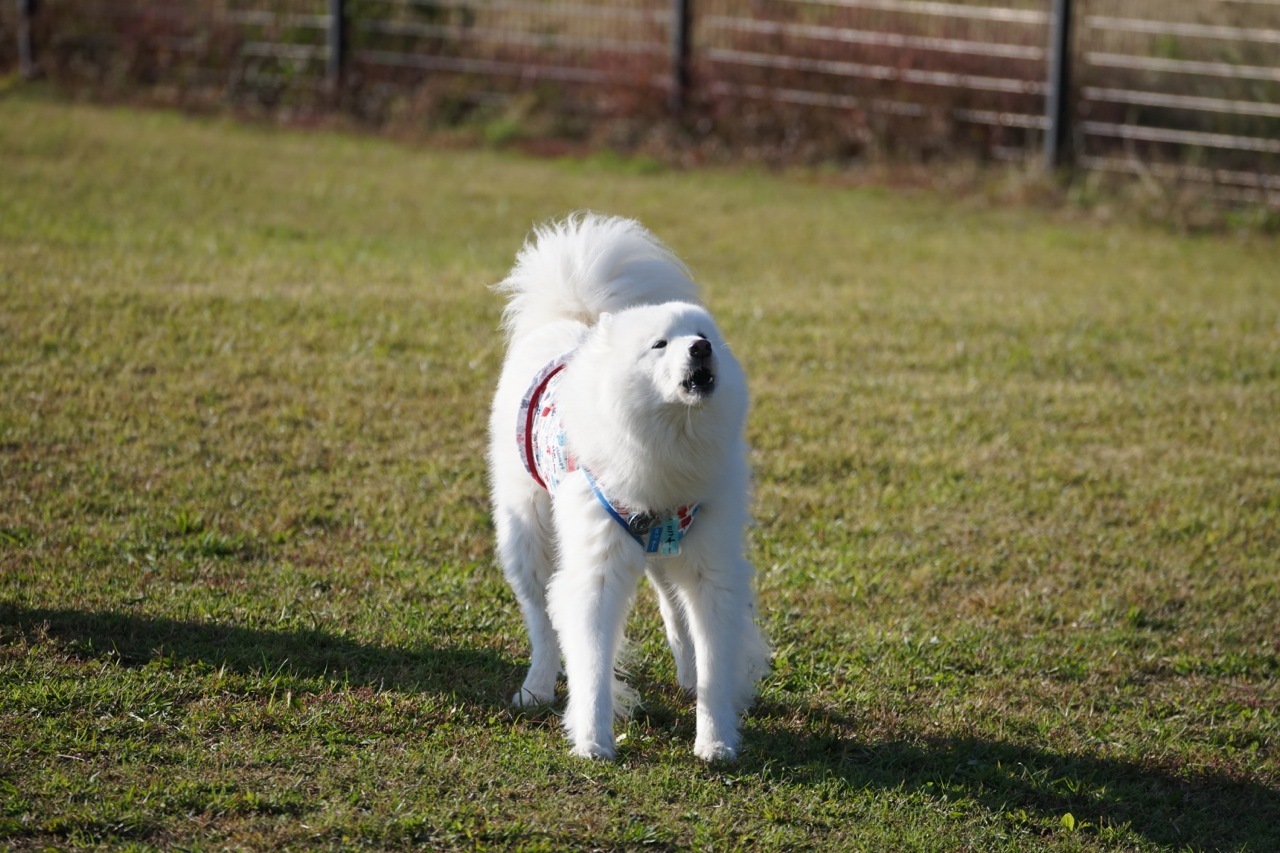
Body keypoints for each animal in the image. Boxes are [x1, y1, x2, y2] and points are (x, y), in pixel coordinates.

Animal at [486, 211, 768, 758]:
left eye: (702, 334)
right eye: (660, 345)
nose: (701, 348)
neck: (670, 442)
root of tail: (575, 317)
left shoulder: (711, 567)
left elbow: (715, 663)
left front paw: (715, 741)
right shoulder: (597, 570)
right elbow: (592, 663)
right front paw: (595, 741)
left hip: (666, 552)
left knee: (672, 608)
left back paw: (686, 671)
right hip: (526, 537)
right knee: (542, 620)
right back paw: (536, 686)